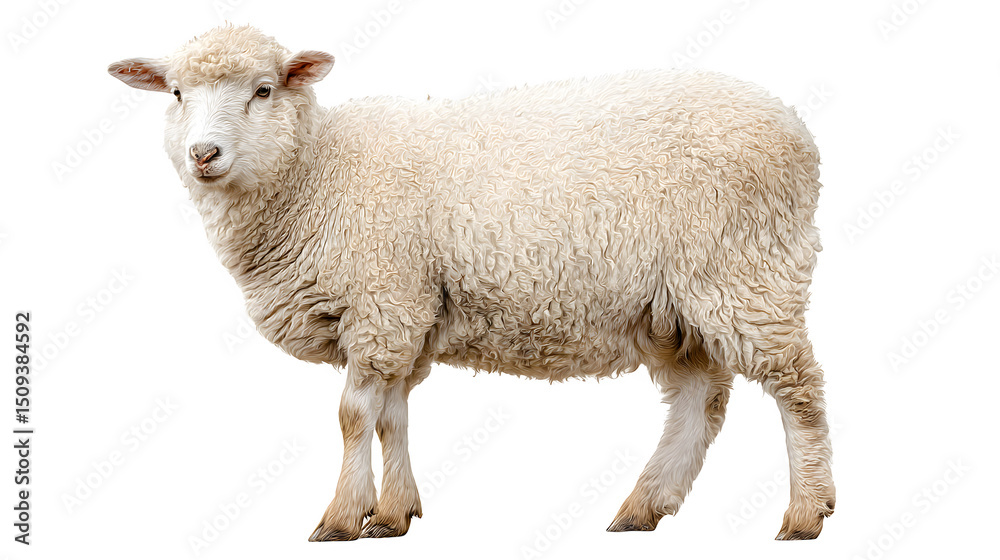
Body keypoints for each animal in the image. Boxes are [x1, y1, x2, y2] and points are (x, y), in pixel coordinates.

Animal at [108, 24, 835, 541]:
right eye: (176, 94)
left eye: (262, 90)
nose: (204, 154)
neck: (318, 171)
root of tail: (795, 125)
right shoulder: (407, 316)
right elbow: (391, 417)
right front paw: (393, 514)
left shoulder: (382, 303)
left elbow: (353, 416)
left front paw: (341, 518)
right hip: (675, 302)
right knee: (699, 401)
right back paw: (642, 507)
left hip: (745, 272)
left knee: (797, 388)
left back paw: (805, 513)